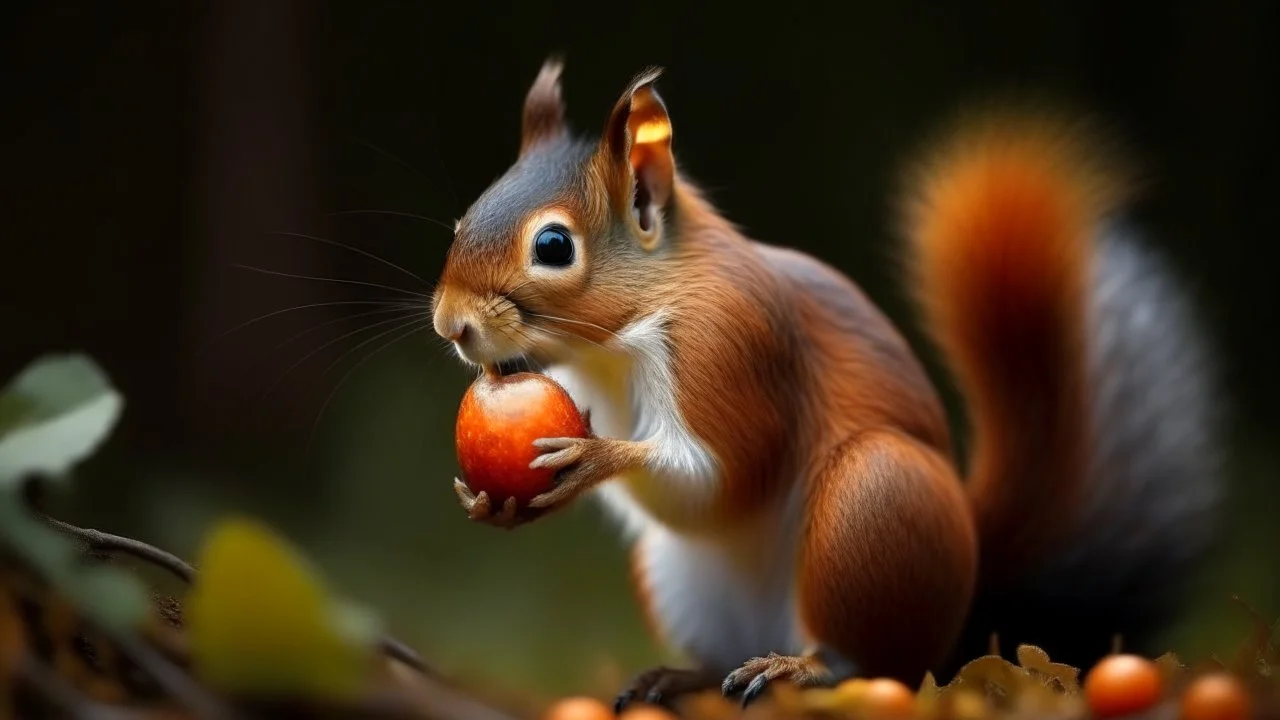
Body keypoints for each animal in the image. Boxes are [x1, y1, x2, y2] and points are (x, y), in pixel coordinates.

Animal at [430, 58, 1218, 707]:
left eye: (553, 246)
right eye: (462, 219)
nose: (450, 325)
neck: (620, 338)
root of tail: (965, 606)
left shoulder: (733, 347)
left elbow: (721, 477)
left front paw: (596, 457)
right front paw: (498, 501)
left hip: (872, 505)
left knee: (874, 665)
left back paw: (803, 668)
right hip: (680, 575)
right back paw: (685, 676)